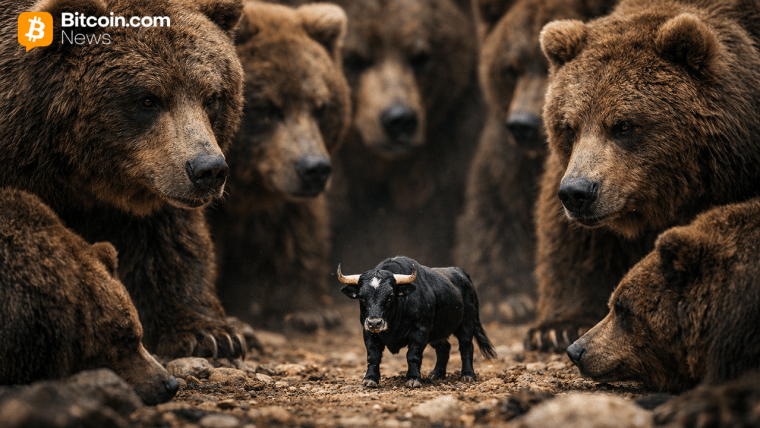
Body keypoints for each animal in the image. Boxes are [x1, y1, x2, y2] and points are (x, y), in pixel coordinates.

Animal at [0, 0, 247, 358]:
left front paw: (211, 334)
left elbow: (167, 241)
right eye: (147, 98)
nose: (208, 170)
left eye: (212, 97)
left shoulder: (150, 181)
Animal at [454, 0, 614, 323]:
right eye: (511, 68)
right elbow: (490, 215)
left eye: (548, 66)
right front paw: (507, 299)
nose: (522, 124)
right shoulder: (505, 160)